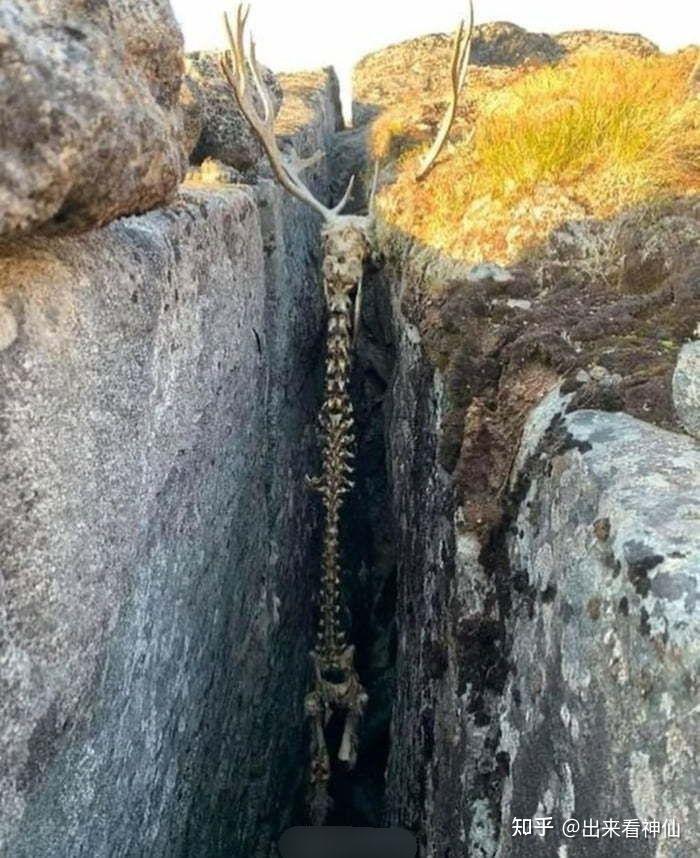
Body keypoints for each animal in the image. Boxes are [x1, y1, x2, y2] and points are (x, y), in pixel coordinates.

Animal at [220, 1, 474, 824]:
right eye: (326, 247)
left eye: (364, 253)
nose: (336, 285)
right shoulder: (315, 718)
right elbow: (320, 785)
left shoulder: (352, 707)